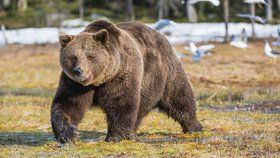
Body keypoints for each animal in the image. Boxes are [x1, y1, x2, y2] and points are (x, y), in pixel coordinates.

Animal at [50, 19, 201, 143]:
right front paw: (70, 135)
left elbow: (120, 102)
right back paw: (132, 133)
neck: (100, 80)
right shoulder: (74, 84)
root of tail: (160, 34)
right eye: (73, 57)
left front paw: (115, 136)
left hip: (164, 71)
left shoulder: (121, 75)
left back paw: (194, 126)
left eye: (90, 56)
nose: (79, 71)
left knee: (179, 96)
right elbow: (67, 104)